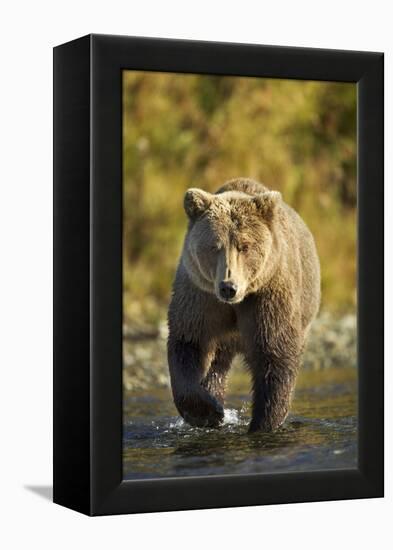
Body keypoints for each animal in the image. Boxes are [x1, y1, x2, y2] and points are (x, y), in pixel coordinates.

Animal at [165, 179, 318, 434]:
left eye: (244, 246)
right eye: (214, 246)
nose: (229, 287)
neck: (236, 303)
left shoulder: (267, 296)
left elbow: (274, 353)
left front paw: (263, 423)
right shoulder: (200, 296)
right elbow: (189, 343)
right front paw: (207, 412)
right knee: (217, 363)